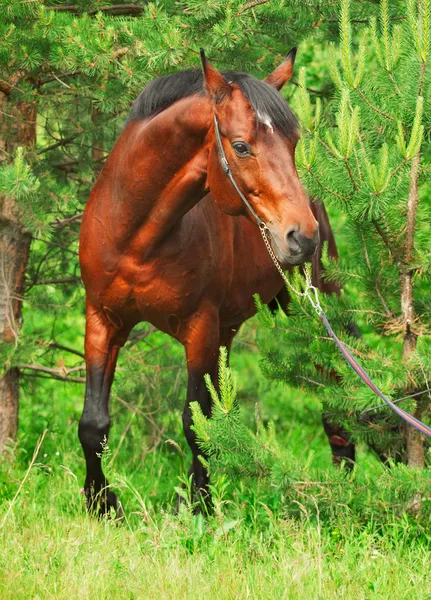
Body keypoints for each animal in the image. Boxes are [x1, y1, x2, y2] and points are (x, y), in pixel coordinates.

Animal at [79, 48, 352, 516]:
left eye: (293, 143)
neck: (135, 238)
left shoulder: (199, 329)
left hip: (310, 312)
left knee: (338, 396)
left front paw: (198, 507)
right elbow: (93, 424)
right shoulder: (103, 320)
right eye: (240, 147)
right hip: (227, 330)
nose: (302, 237)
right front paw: (103, 504)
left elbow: (195, 423)